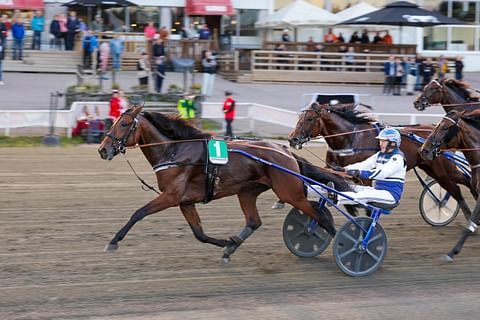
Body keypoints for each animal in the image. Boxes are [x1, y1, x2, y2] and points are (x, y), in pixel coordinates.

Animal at [97, 107, 352, 262]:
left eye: (125, 124)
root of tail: (284, 150)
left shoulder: (170, 196)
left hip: (290, 192)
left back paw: (347, 243)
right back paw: (232, 247)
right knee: (254, 221)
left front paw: (113, 241)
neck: (175, 151)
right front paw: (227, 243)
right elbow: (199, 233)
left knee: (321, 215)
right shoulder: (185, 201)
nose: (102, 149)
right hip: (247, 192)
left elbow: (138, 213)